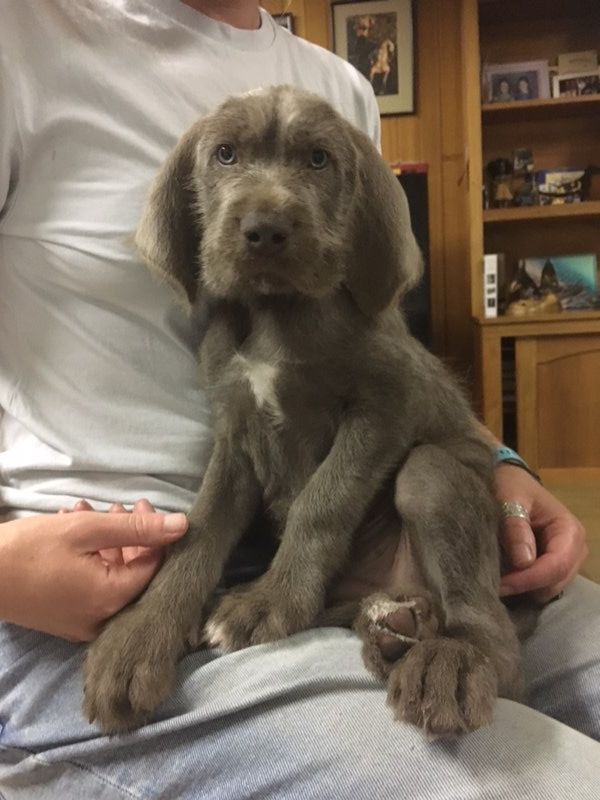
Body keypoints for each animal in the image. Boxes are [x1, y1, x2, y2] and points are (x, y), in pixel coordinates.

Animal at [83, 86, 520, 736]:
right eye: (225, 154)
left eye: (318, 160)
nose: (265, 230)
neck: (276, 314)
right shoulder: (235, 433)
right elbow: (199, 528)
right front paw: (142, 633)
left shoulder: (386, 405)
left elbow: (323, 500)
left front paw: (271, 600)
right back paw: (397, 629)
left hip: (433, 476)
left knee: (493, 631)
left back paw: (451, 660)